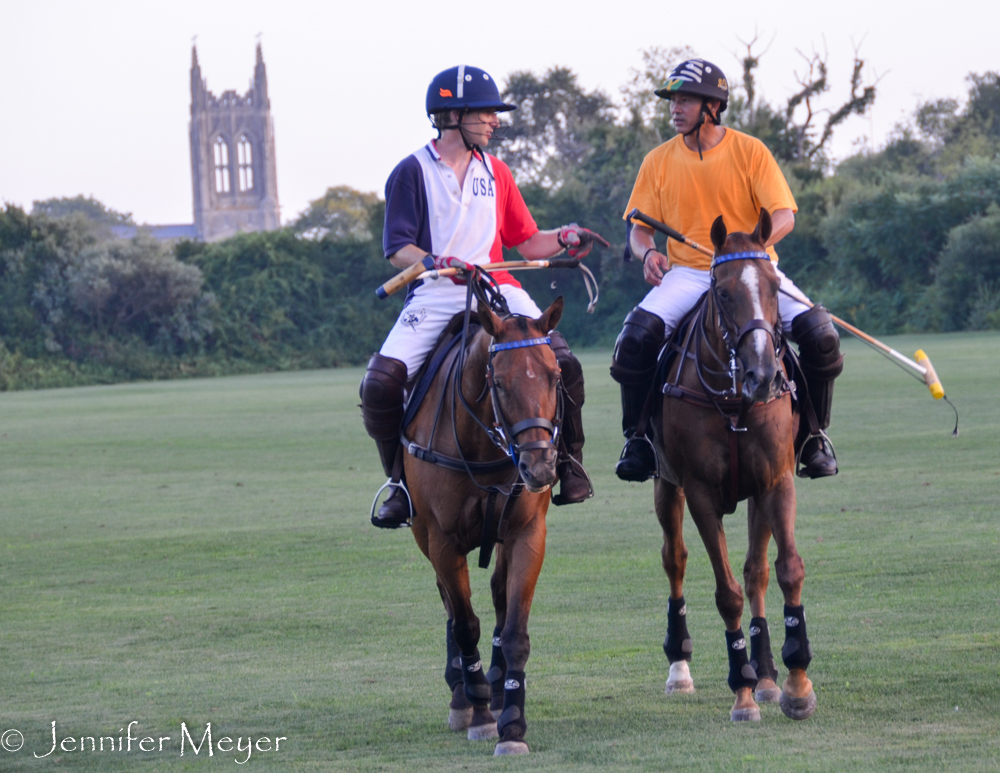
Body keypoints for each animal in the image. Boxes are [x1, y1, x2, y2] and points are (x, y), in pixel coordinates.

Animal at [400, 292, 568, 752]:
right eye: (500, 382)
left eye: (556, 375)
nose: (540, 468)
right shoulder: (442, 541)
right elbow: (464, 624)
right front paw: (477, 712)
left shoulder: (528, 533)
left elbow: (514, 630)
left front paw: (511, 721)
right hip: (423, 534)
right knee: (452, 606)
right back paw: (463, 694)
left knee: (496, 595)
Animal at [652, 208, 816, 720]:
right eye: (723, 292)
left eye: (774, 287)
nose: (763, 377)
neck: (733, 399)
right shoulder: (701, 492)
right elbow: (727, 592)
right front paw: (741, 689)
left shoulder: (775, 481)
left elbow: (785, 569)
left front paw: (795, 681)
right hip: (666, 485)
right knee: (675, 560)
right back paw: (680, 669)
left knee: (755, 570)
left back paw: (767, 677)